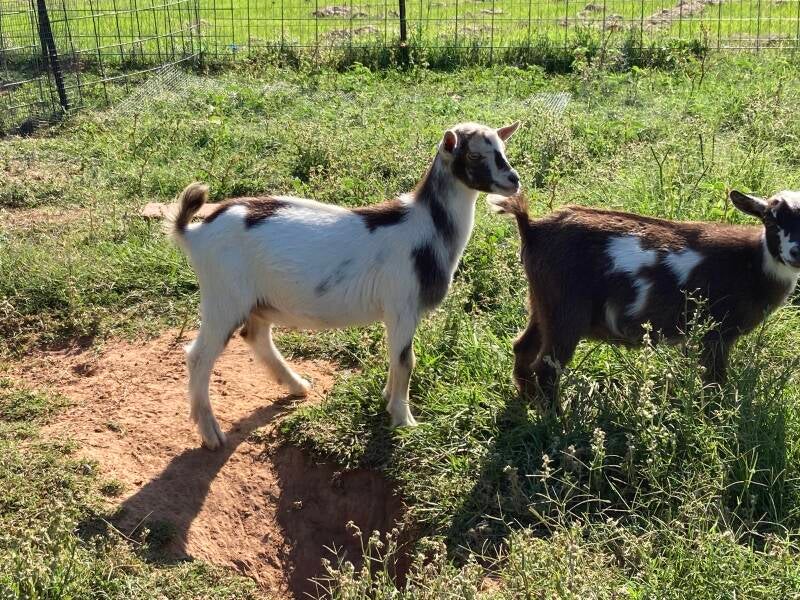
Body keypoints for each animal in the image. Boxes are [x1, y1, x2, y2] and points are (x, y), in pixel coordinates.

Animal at [170, 122, 521, 449]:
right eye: (474, 154)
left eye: (502, 147)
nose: (513, 180)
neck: (427, 228)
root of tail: (195, 233)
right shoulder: (402, 305)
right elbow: (406, 360)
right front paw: (404, 420)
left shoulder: (395, 313)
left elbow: (395, 357)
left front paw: (388, 399)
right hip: (223, 298)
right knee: (199, 356)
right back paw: (211, 433)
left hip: (258, 301)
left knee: (256, 336)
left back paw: (297, 385)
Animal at [489, 190, 800, 413]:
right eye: (770, 218)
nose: (795, 252)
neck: (752, 263)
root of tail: (532, 228)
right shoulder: (716, 333)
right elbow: (713, 381)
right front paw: (714, 416)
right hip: (566, 312)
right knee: (547, 367)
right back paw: (557, 420)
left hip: (542, 304)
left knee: (523, 347)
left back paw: (528, 400)